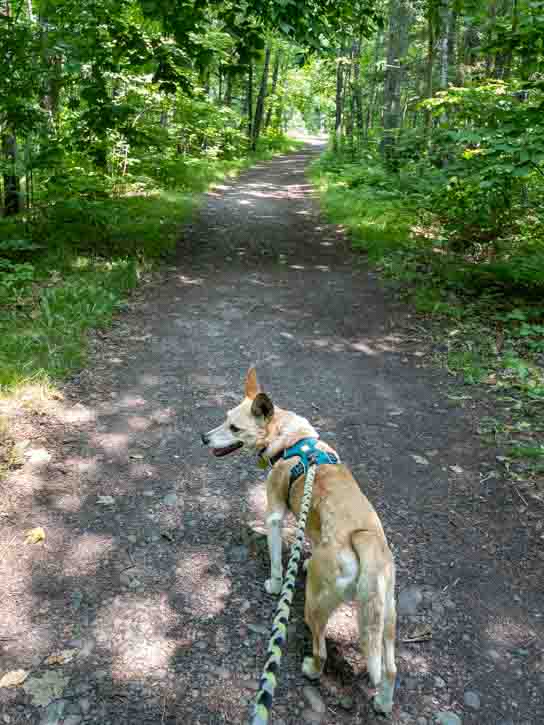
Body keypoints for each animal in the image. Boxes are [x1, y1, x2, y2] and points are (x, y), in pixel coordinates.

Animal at [202, 368, 398, 712]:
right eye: (224, 418)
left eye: (234, 427)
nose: (203, 438)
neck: (289, 439)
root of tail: (365, 539)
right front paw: (302, 560)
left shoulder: (274, 516)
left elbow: (277, 561)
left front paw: (275, 583)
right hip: (386, 617)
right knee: (390, 669)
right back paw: (383, 703)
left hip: (315, 606)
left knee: (320, 650)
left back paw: (311, 669)